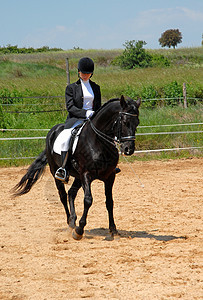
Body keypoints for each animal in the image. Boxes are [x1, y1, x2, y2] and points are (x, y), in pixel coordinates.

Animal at [13, 95, 140, 240]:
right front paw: (79, 230)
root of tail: (53, 131)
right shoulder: (86, 175)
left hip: (78, 177)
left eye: (137, 123)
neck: (99, 142)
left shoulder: (109, 177)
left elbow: (109, 202)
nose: (129, 149)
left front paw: (113, 230)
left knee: (71, 193)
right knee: (63, 196)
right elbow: (88, 200)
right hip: (56, 173)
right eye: (124, 122)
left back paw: (73, 221)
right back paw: (70, 222)